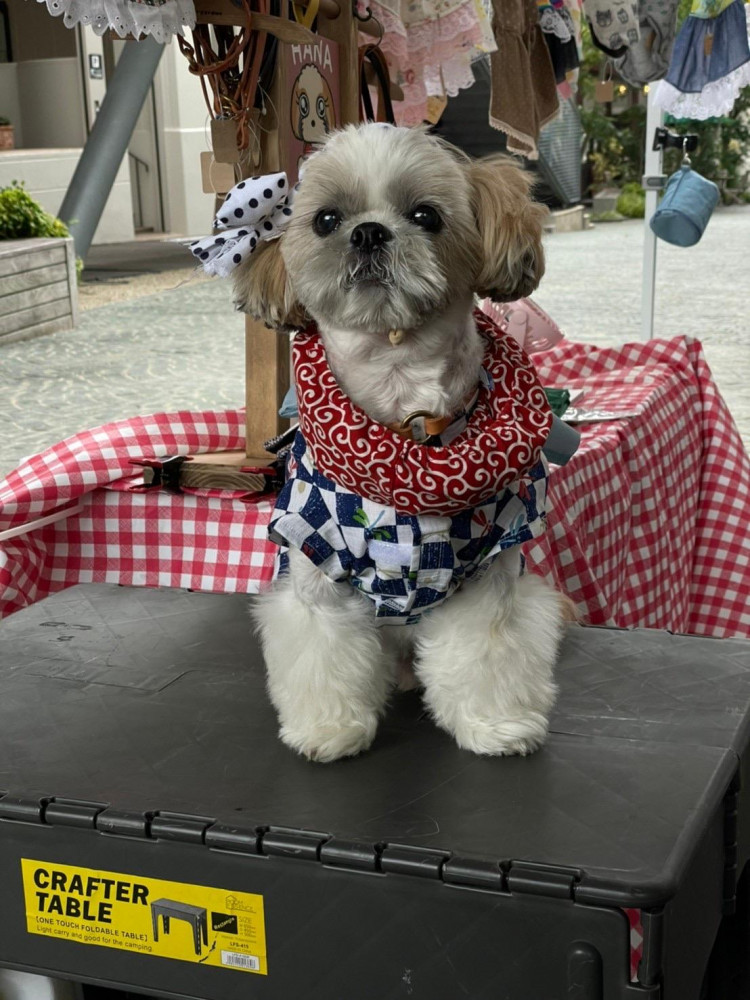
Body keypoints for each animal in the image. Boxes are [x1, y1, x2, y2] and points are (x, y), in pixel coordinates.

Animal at [232, 127, 568, 764]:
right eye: (327, 219)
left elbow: (487, 647)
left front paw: (495, 724)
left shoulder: (491, 568)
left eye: (425, 215)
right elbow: (323, 647)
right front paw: (329, 729)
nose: (368, 232)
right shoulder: (316, 562)